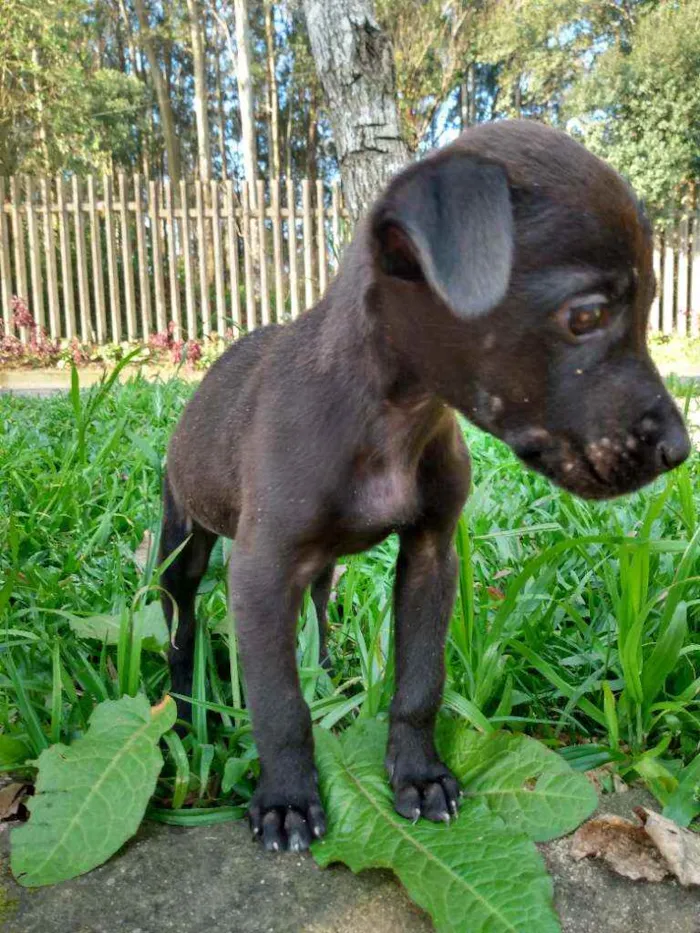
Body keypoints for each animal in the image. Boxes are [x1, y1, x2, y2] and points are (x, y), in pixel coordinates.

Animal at [161, 122, 692, 852]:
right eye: (586, 316)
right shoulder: (260, 572)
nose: (679, 450)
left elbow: (419, 682)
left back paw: (328, 675)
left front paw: (417, 775)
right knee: (180, 620)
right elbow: (278, 702)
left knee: (318, 612)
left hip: (319, 568)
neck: (392, 416)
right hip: (181, 542)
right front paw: (288, 797)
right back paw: (185, 708)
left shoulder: (431, 556)